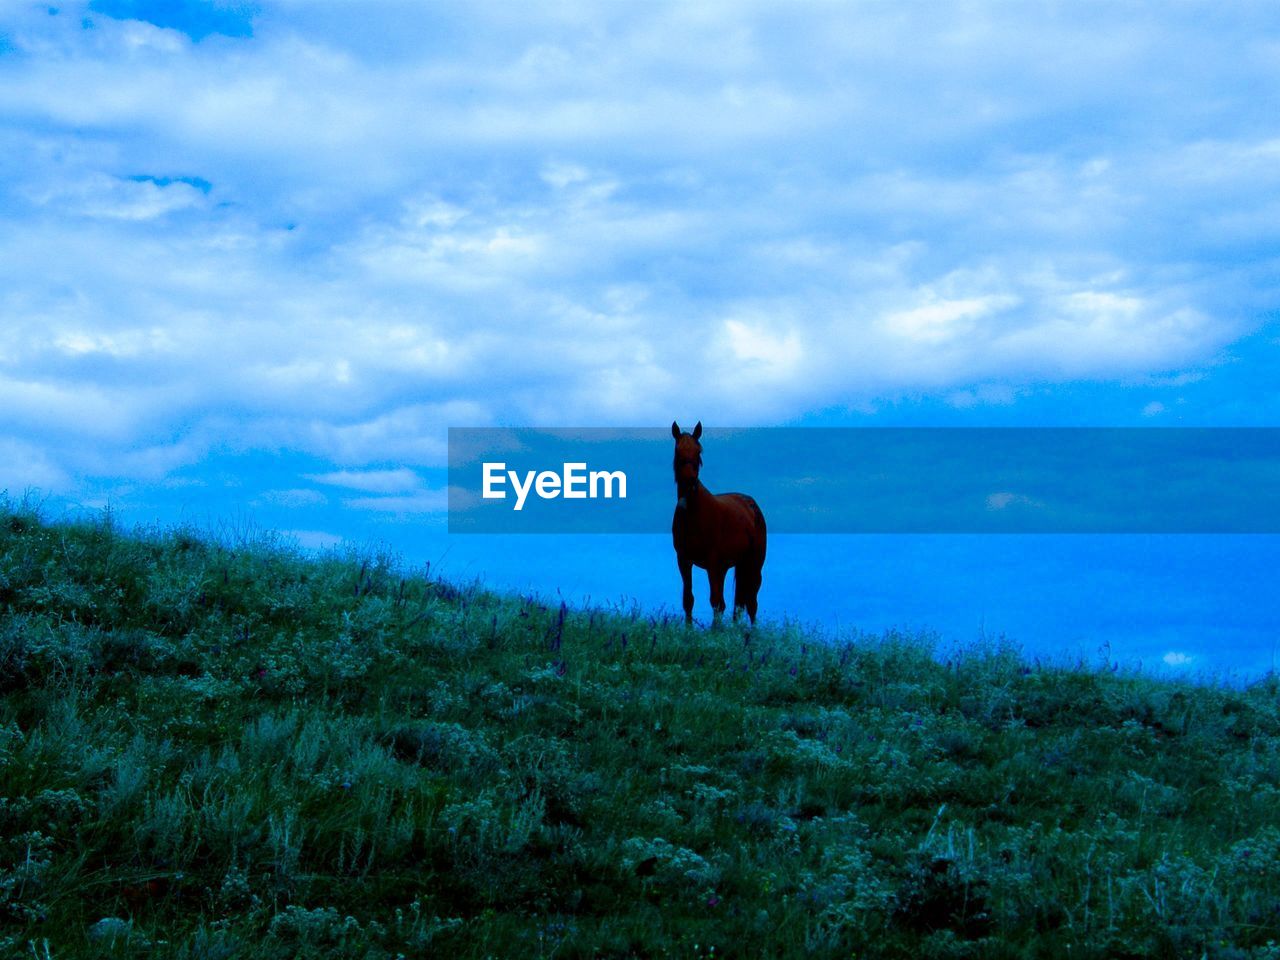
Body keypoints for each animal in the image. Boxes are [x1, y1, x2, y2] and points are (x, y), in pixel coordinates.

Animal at [670, 419, 768, 624]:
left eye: (698, 451)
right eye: (678, 451)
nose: (690, 481)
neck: (694, 514)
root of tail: (751, 504)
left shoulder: (714, 562)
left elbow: (716, 601)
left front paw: (716, 630)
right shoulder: (684, 560)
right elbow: (688, 599)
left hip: (753, 563)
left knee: (751, 602)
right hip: (736, 564)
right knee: (739, 603)